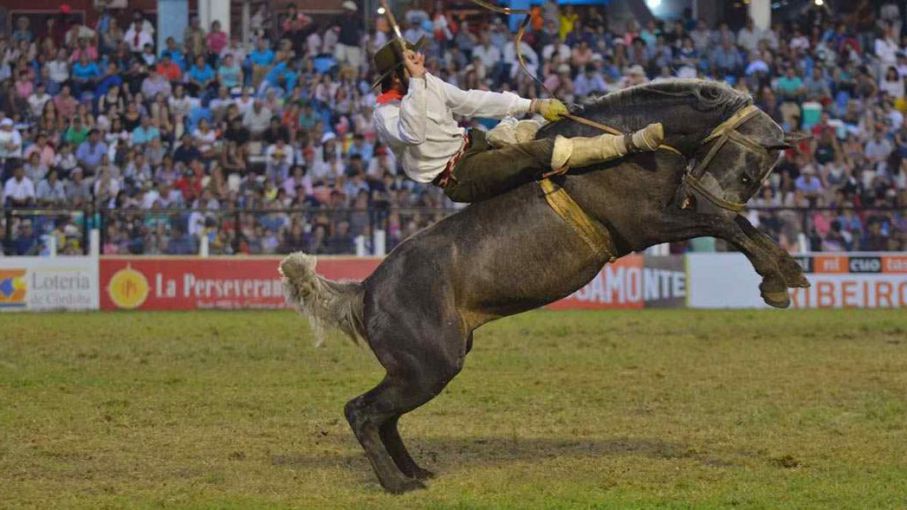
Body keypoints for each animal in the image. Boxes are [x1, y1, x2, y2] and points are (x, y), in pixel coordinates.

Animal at [278, 80, 808, 494]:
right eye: (749, 170)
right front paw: (778, 280)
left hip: (420, 369)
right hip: (426, 368)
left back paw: (417, 472)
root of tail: (366, 288)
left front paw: (787, 275)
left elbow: (739, 227)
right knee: (363, 412)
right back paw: (396, 484)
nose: (703, 192)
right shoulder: (647, 223)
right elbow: (724, 224)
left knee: (384, 418)